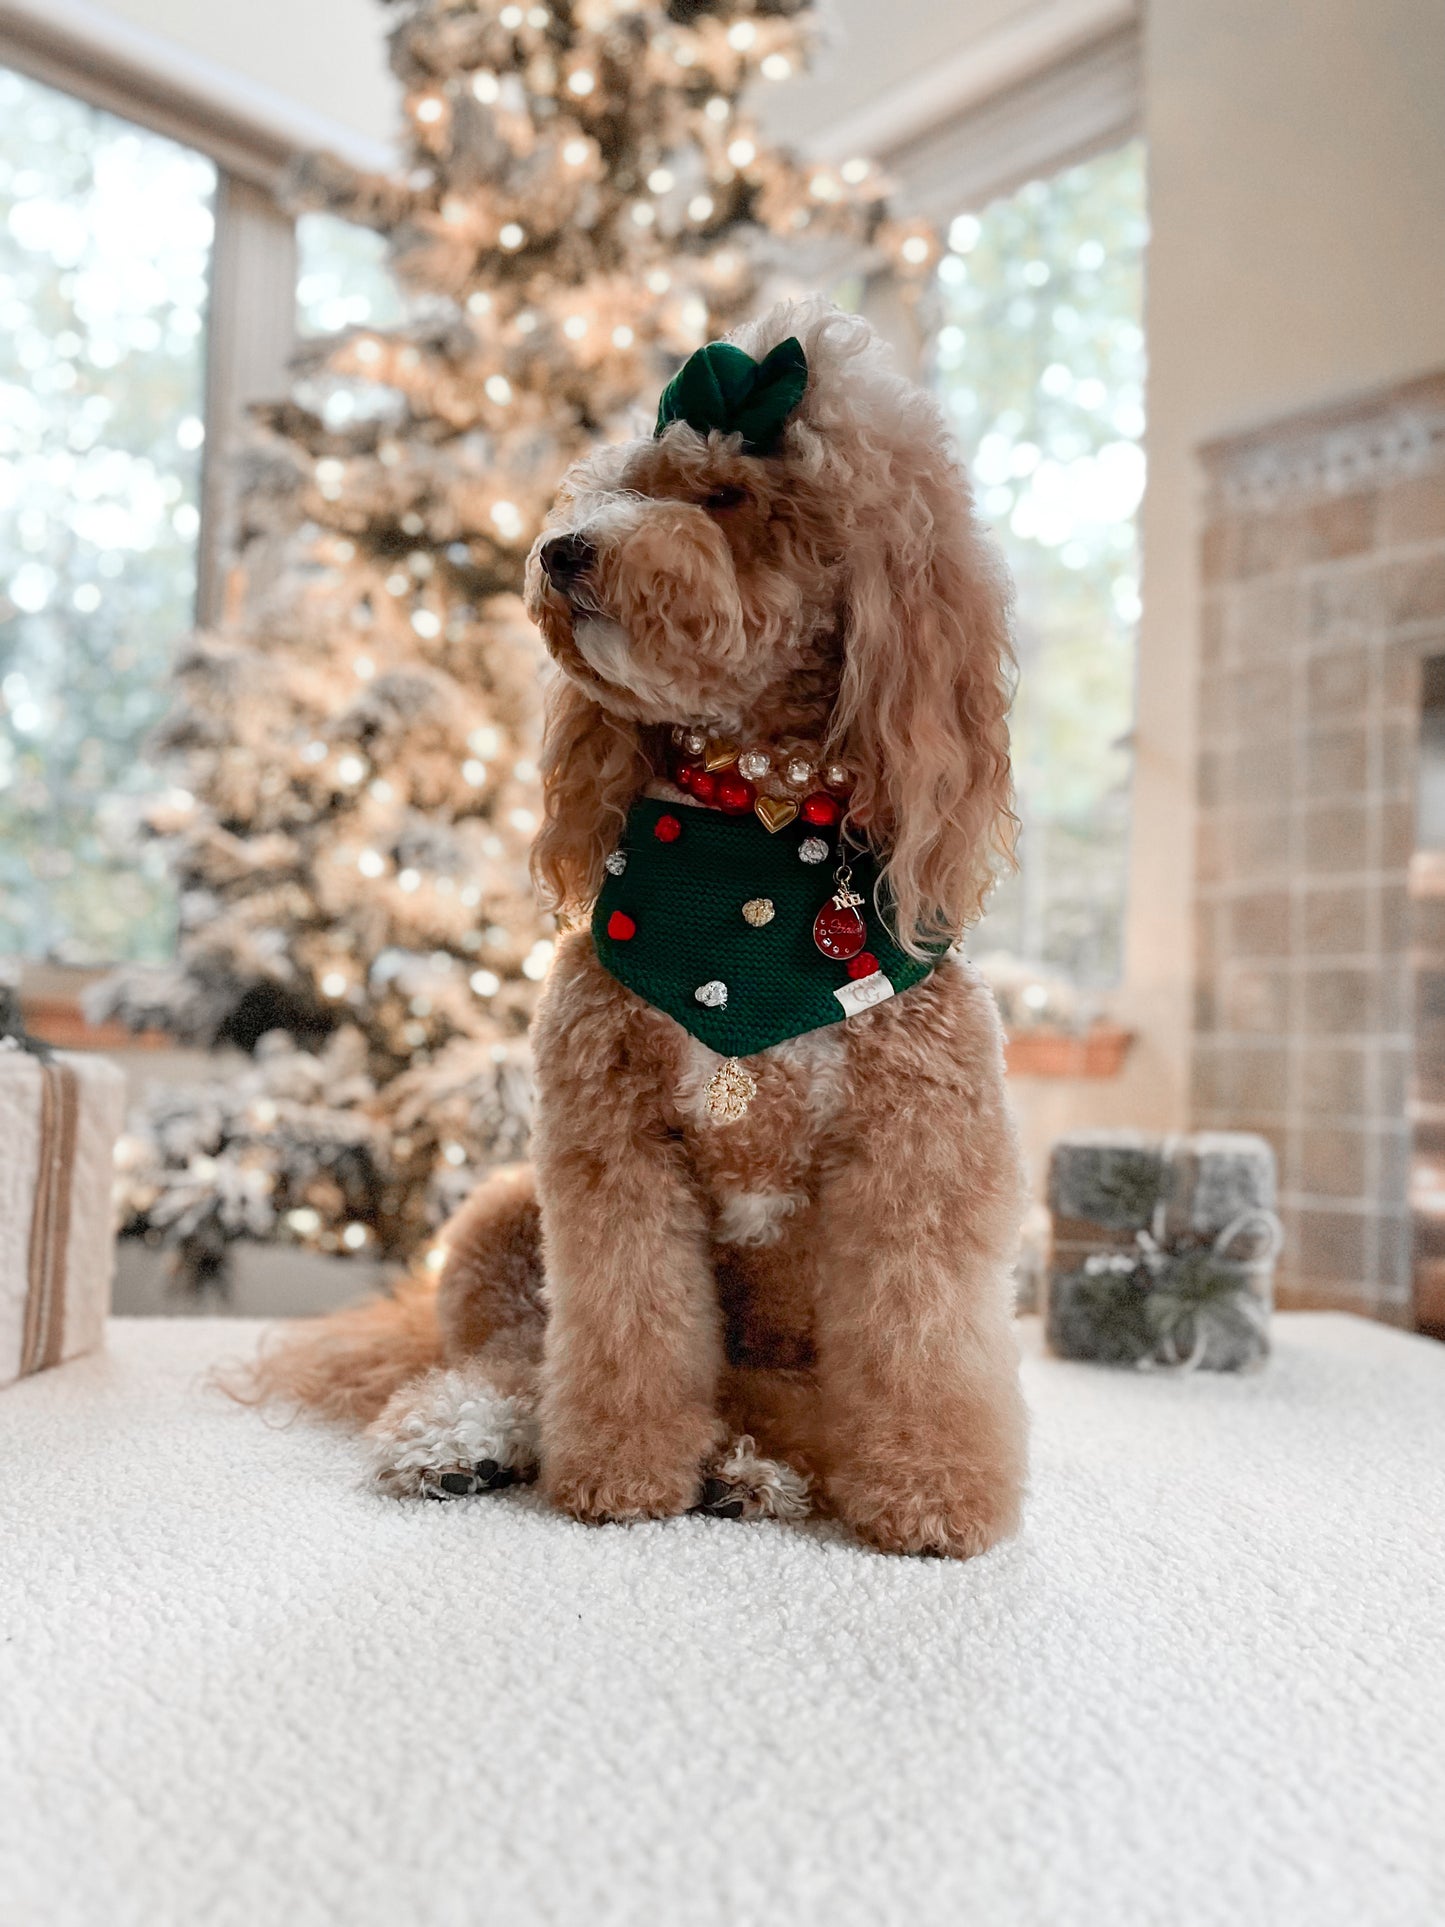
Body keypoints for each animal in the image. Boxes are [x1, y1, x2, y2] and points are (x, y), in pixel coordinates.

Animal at [252, 304, 1032, 1564]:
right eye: (625, 487)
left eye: (724, 497)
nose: (563, 549)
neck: (747, 841)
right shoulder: (608, 1150)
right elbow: (626, 1329)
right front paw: (620, 1475)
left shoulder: (916, 1159)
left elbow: (920, 1346)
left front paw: (931, 1494)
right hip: (499, 1212)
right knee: (507, 1359)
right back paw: (461, 1438)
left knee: (782, 1408)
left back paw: (752, 1471)